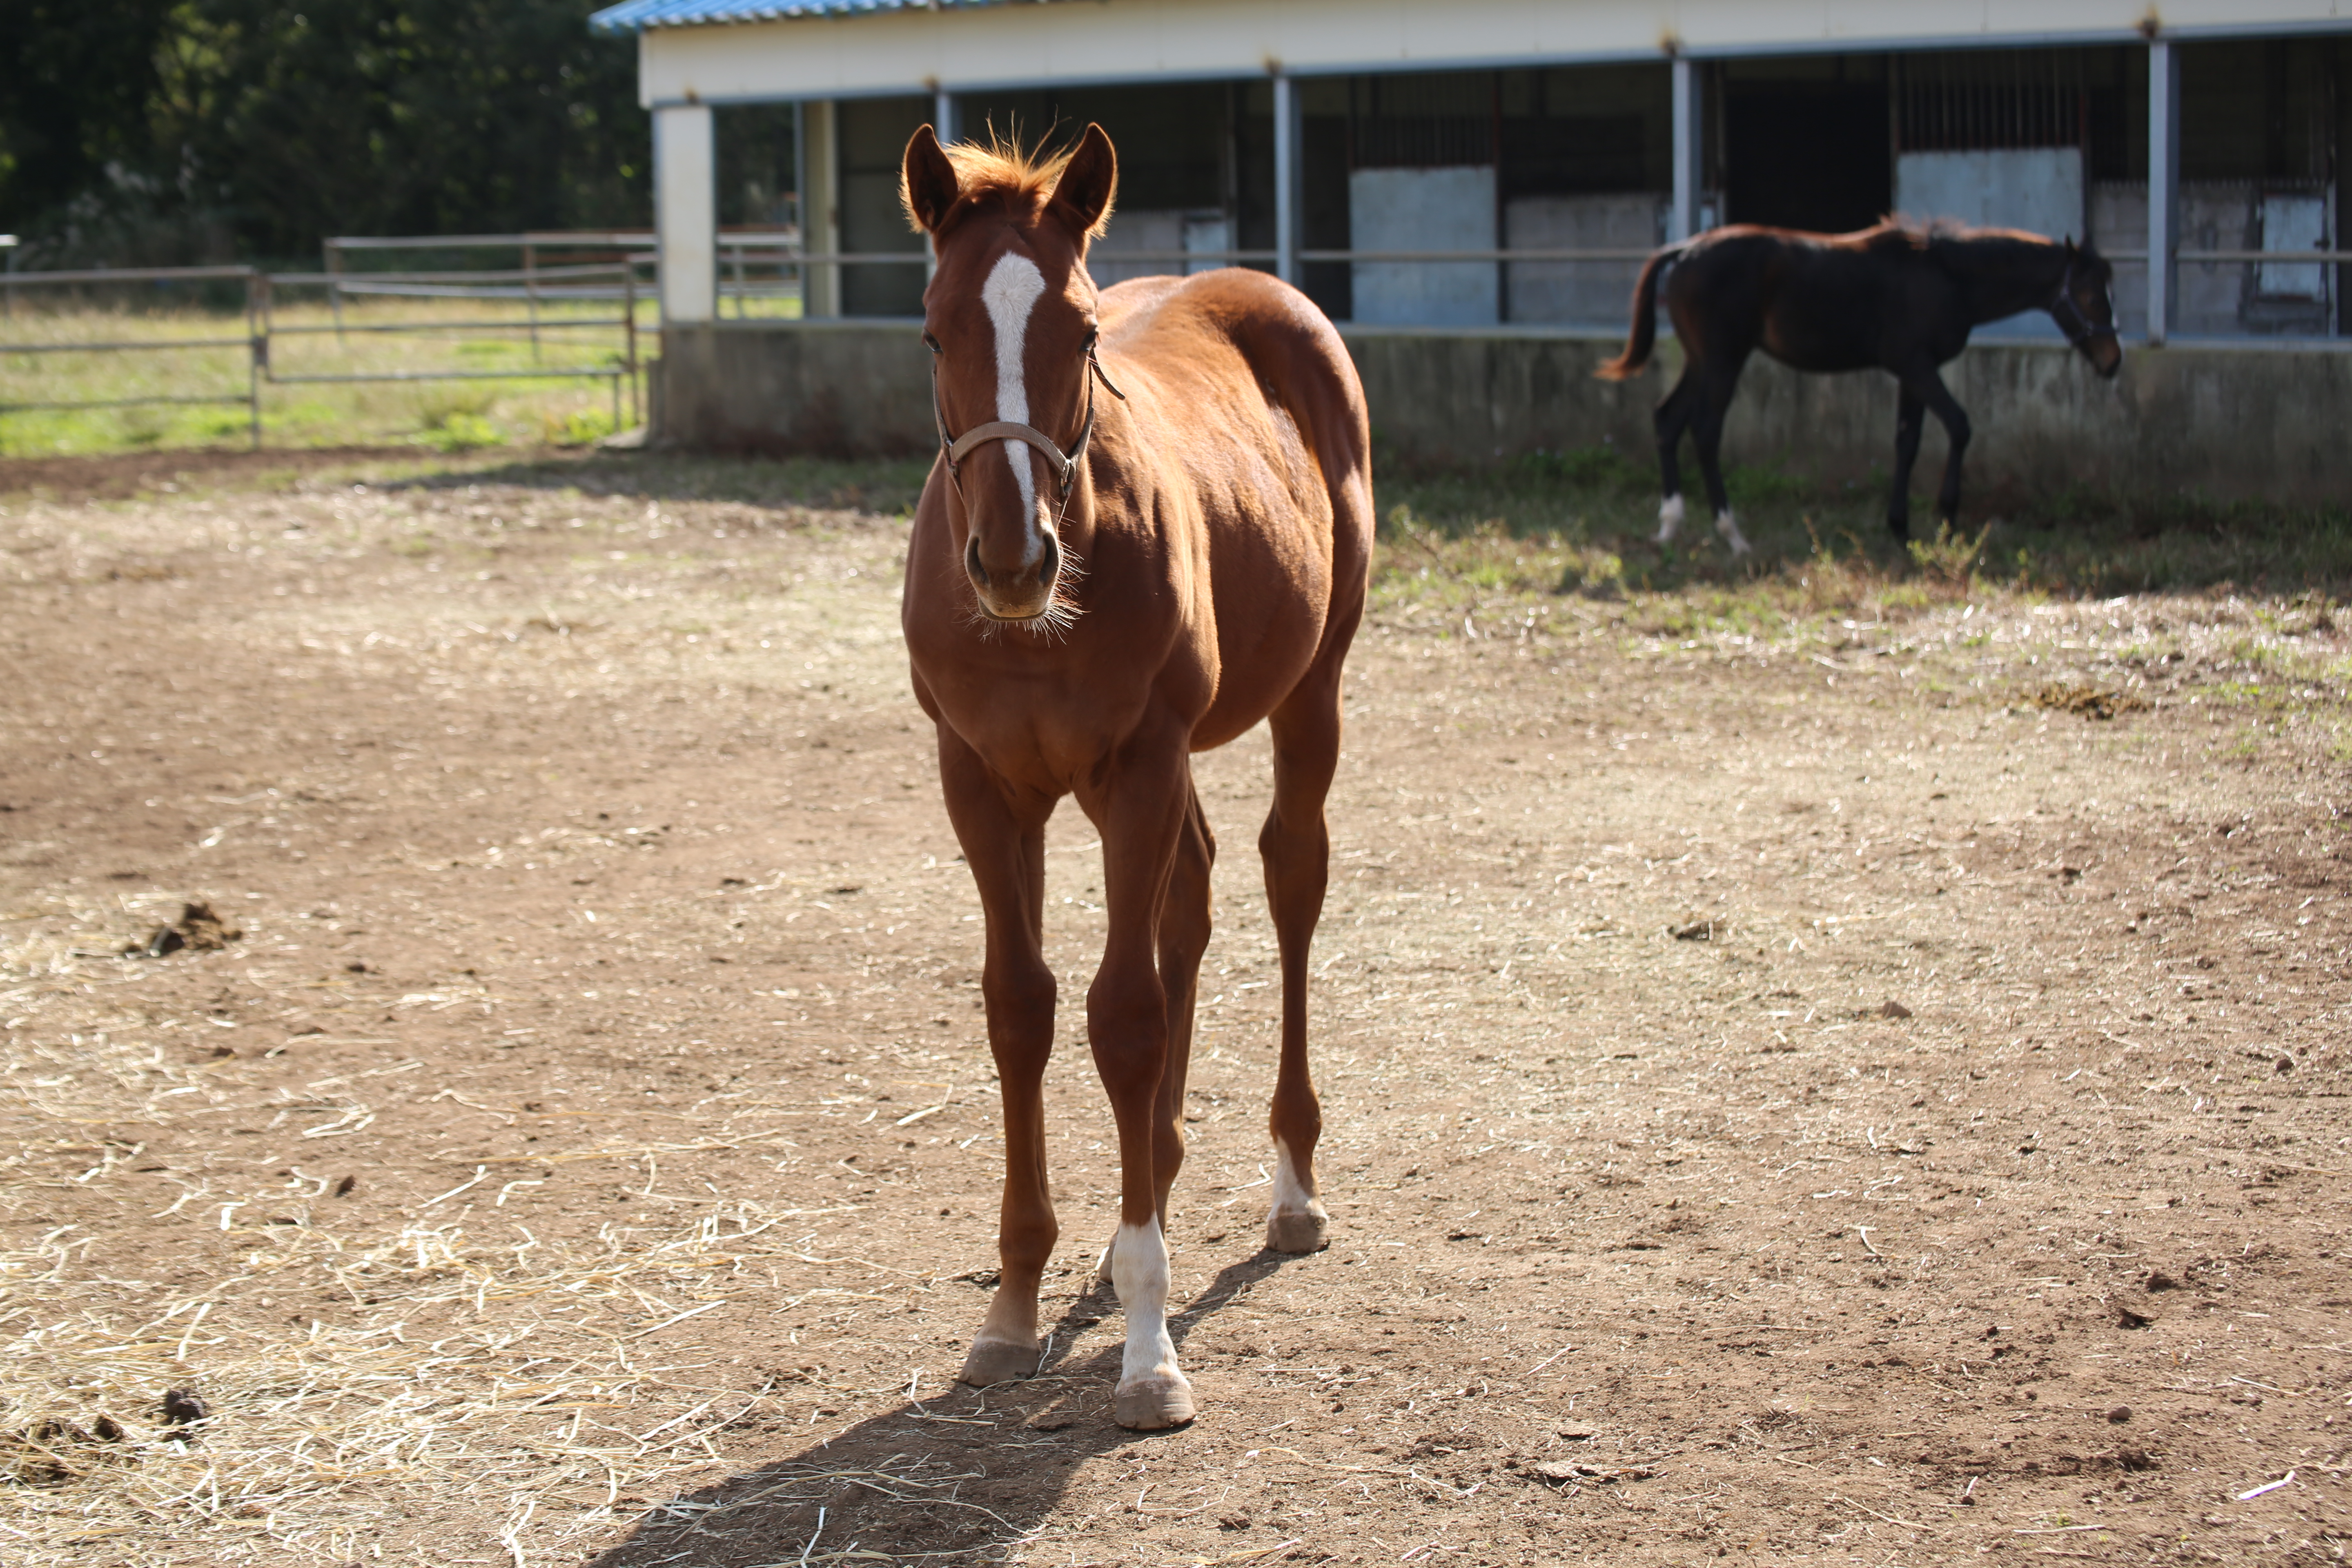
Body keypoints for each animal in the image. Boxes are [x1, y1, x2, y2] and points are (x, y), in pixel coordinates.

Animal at [898, 131, 1373, 1439]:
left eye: (1081, 334)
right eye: (934, 331)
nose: (1013, 561)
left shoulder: (1140, 764)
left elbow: (1125, 1016)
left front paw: (1151, 1348)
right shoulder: (981, 782)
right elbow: (1022, 1007)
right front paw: (1012, 1307)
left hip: (1309, 689)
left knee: (1288, 882)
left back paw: (1289, 1186)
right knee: (1192, 901)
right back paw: (1143, 1185)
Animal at [1608, 222, 2126, 552]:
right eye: (2088, 295)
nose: (2113, 361)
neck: (1947, 276)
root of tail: (1685, 250)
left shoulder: (1912, 374)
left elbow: (1907, 443)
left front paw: (1900, 528)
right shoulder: (1916, 365)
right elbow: (1960, 426)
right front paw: (1947, 519)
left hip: (1701, 361)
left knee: (1667, 420)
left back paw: (1670, 526)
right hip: (1723, 361)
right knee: (1705, 431)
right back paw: (1732, 534)